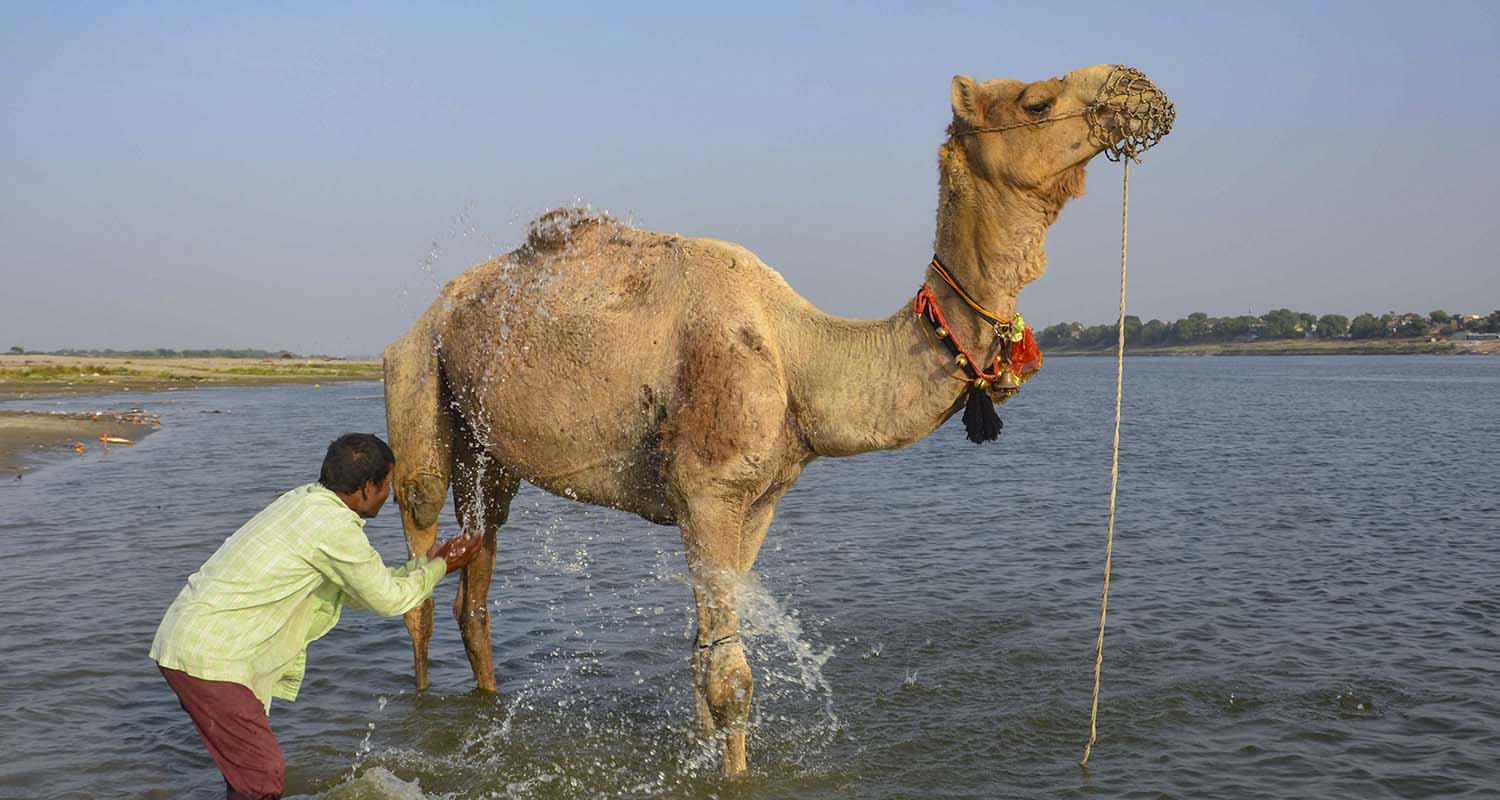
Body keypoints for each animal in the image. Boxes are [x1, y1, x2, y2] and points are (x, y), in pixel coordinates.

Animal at [383, 64, 1172, 776]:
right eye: (1036, 101)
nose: (1139, 88)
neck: (803, 358)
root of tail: (440, 306)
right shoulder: (706, 486)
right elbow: (731, 680)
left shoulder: (760, 498)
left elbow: (701, 659)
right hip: (416, 374)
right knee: (419, 567)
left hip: (487, 447)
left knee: (477, 584)